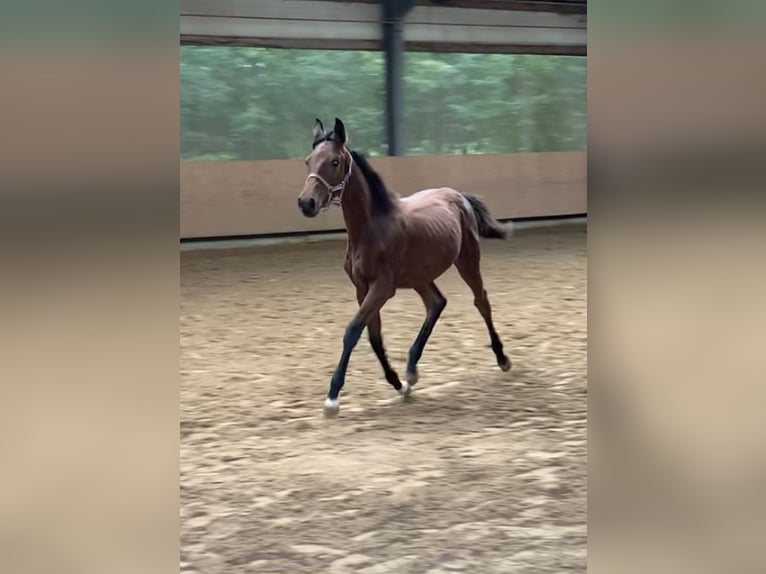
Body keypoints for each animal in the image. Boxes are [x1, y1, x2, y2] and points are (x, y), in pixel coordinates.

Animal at [302, 118, 516, 418]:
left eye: (334, 161)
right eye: (308, 161)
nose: (306, 203)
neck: (371, 227)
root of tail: (458, 195)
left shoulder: (382, 287)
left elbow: (353, 331)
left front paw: (332, 398)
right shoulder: (362, 288)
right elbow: (374, 336)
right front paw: (398, 383)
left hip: (467, 261)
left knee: (481, 302)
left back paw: (502, 358)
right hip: (420, 275)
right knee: (436, 303)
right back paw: (411, 370)